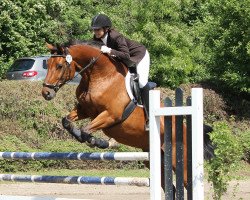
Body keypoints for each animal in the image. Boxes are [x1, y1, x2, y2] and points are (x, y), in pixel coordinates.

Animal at [42, 41, 214, 192]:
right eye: (47, 65)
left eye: (59, 66)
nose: (46, 93)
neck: (101, 75)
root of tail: (185, 128)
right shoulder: (85, 110)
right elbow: (66, 121)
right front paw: (89, 138)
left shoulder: (111, 115)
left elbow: (85, 130)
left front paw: (103, 142)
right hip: (153, 159)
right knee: (169, 187)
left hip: (179, 160)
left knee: (187, 183)